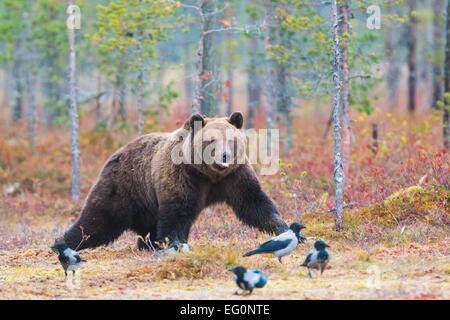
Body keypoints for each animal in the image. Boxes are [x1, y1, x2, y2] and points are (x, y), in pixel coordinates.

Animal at [63, 111, 288, 251]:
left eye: (231, 140)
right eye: (212, 140)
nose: (224, 156)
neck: (209, 174)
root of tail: (117, 152)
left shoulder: (234, 176)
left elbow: (254, 204)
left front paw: (284, 229)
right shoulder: (183, 176)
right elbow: (177, 212)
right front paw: (175, 243)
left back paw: (147, 245)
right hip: (123, 185)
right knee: (97, 220)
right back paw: (65, 242)